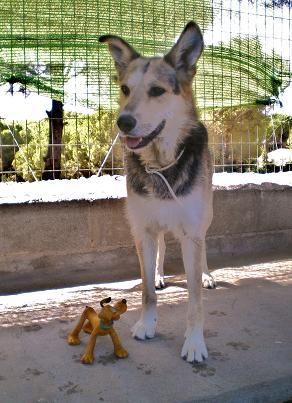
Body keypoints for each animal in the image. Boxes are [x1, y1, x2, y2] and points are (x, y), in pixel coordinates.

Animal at [99, 21, 216, 362]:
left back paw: (207, 275)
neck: (161, 164)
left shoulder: (191, 233)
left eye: (157, 91)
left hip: (206, 216)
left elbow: (194, 300)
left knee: (205, 247)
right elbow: (146, 290)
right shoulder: (143, 230)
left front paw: (194, 342)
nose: (123, 122)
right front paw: (147, 323)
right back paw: (161, 274)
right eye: (125, 89)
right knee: (163, 245)